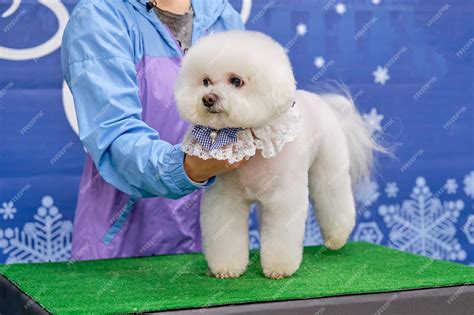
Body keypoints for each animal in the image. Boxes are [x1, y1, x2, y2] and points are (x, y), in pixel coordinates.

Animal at [174, 30, 382, 280]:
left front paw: (279, 268)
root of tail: (324, 103)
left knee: (333, 197)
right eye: (205, 81)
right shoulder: (225, 199)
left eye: (236, 81)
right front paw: (227, 267)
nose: (208, 98)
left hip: (329, 167)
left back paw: (336, 238)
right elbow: (226, 234)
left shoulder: (284, 198)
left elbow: (282, 234)